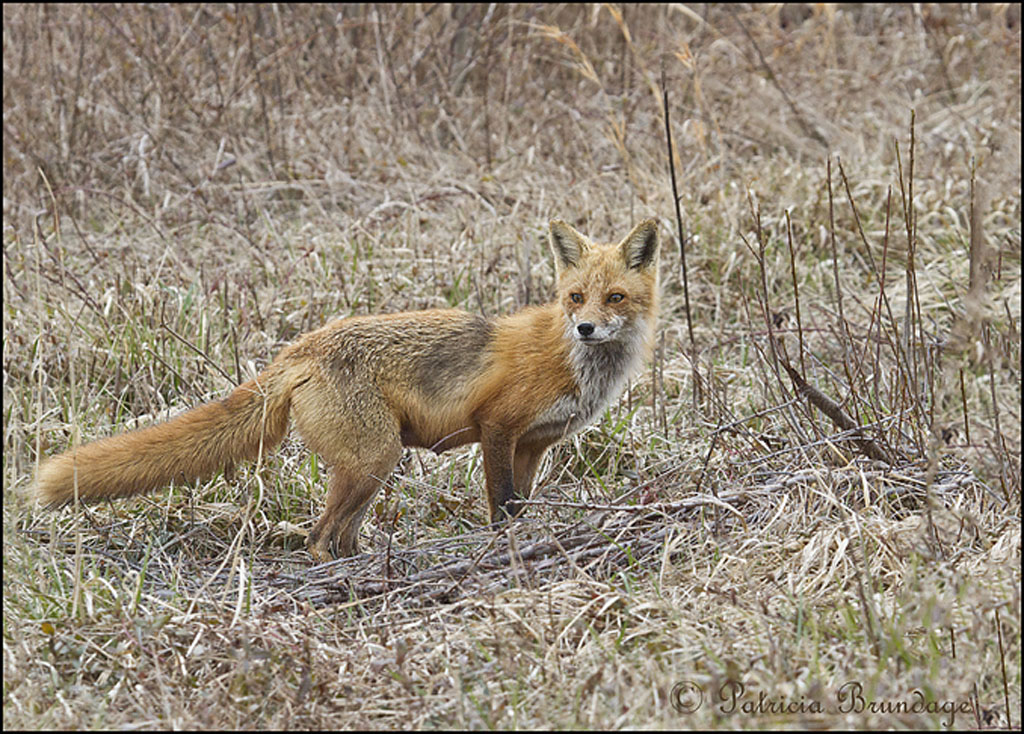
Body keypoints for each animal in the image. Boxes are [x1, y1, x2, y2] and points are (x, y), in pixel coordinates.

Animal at [31, 218, 660, 561]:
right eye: (576, 297)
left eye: (615, 298)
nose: (585, 328)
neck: (572, 361)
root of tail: (301, 347)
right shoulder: (498, 429)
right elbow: (501, 506)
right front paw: (504, 550)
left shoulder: (534, 445)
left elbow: (518, 503)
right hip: (373, 459)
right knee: (318, 539)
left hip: (373, 468)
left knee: (342, 538)